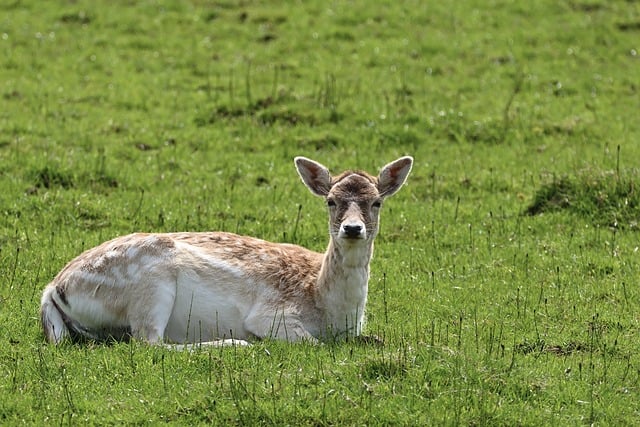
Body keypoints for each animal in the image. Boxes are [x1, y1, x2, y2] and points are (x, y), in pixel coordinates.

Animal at [40, 156, 412, 348]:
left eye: (376, 202)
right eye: (331, 201)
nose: (352, 229)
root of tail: (53, 288)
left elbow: (376, 339)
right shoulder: (272, 315)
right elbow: (314, 344)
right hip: (152, 285)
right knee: (150, 342)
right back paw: (237, 344)